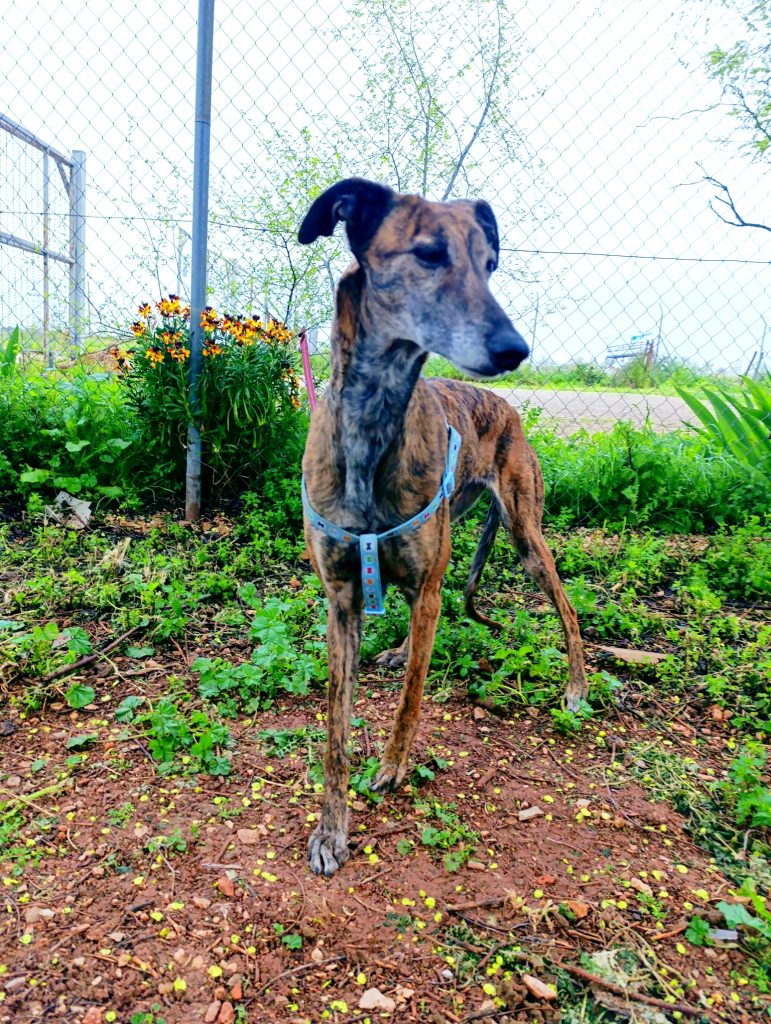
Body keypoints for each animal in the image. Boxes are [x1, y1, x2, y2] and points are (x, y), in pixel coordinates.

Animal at [297, 178, 588, 876]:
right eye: (429, 253)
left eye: (490, 264)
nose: (515, 350)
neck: (374, 422)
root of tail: (508, 409)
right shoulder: (340, 598)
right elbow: (335, 732)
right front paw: (331, 829)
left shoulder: (419, 585)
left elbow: (410, 699)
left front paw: (393, 768)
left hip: (525, 537)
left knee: (565, 609)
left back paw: (576, 687)